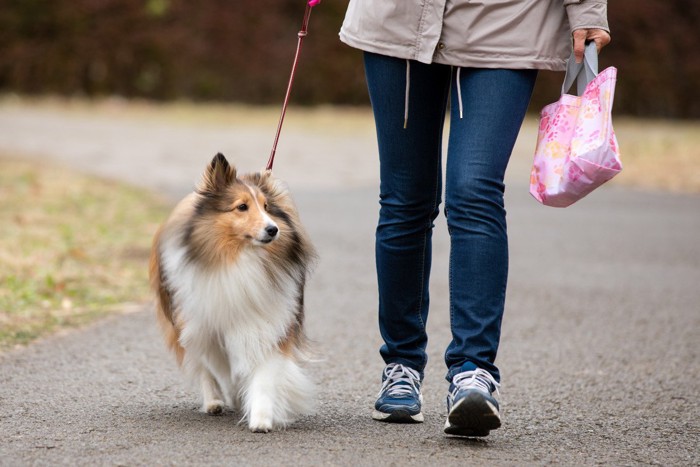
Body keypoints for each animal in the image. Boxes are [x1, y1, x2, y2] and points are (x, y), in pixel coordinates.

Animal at [152, 154, 318, 432]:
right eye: (242, 207)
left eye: (266, 207)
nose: (273, 229)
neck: (240, 259)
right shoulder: (203, 328)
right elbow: (219, 368)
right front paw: (233, 393)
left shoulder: (270, 323)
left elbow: (264, 374)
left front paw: (261, 417)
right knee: (203, 368)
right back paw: (214, 402)